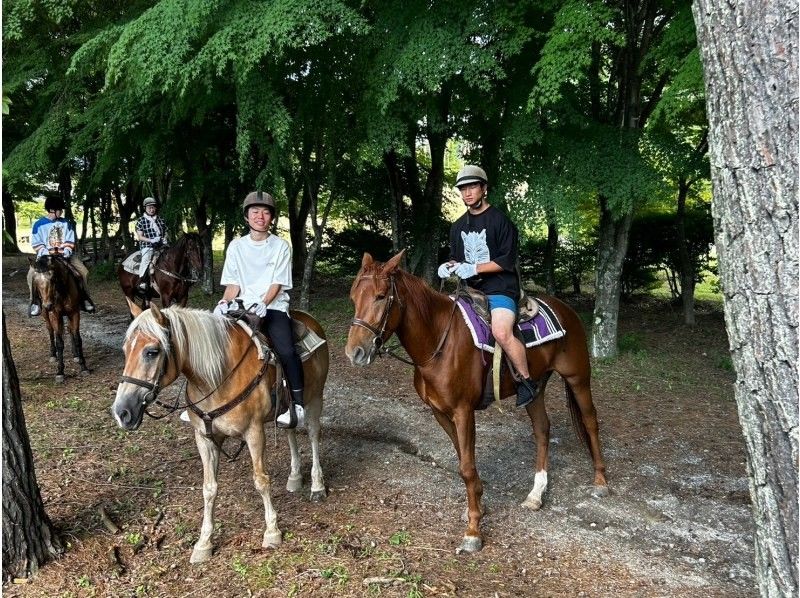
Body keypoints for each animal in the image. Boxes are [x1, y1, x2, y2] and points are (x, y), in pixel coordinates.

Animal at [111, 302, 330, 564]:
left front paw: (272, 531)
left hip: (315, 398)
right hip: (283, 410)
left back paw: (317, 486)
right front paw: (203, 543)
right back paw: (295, 477)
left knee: (314, 434)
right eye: (125, 350)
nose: (122, 412)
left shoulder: (254, 432)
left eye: (152, 352)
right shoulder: (205, 438)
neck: (216, 377)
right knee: (290, 432)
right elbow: (209, 488)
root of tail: (309, 318)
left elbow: (261, 481)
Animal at [344, 252, 608, 552]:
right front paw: (477, 507)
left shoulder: (463, 411)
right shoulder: (440, 412)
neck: (439, 342)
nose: (355, 352)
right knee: (542, 429)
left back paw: (600, 481)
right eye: (354, 297)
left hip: (578, 378)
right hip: (535, 388)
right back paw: (536, 493)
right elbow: (463, 459)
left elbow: (467, 468)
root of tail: (566, 310)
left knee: (590, 421)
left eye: (380, 296)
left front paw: (473, 531)